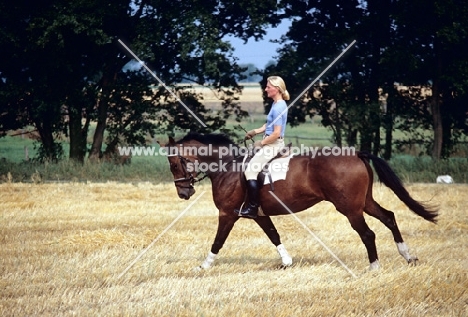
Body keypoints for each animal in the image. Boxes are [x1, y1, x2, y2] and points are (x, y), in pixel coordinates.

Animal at [162, 132, 438, 270]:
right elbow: (274, 235)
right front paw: (286, 262)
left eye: (174, 164)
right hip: (364, 203)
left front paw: (203, 266)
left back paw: (375, 267)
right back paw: (408, 257)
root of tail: (356, 153)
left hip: (349, 208)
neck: (227, 168)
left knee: (368, 233)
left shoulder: (228, 214)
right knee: (389, 217)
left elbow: (218, 241)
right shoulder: (259, 214)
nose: (183, 193)